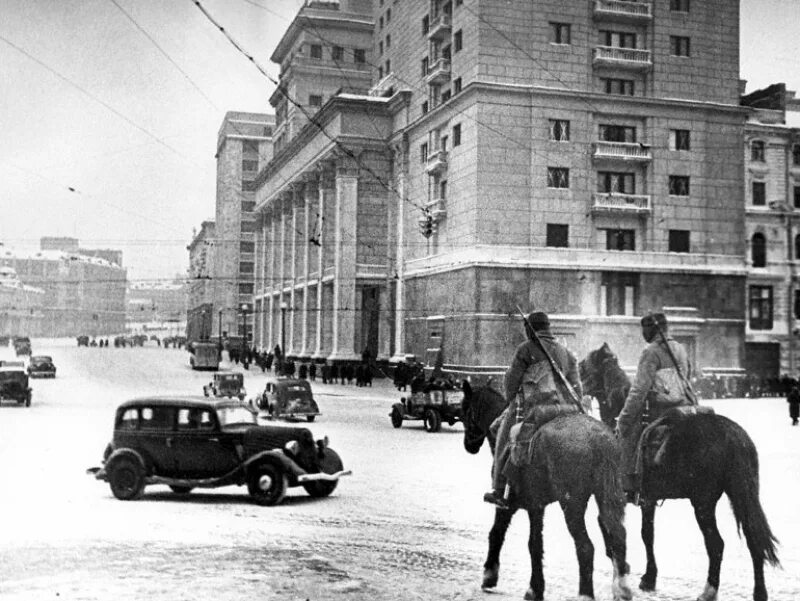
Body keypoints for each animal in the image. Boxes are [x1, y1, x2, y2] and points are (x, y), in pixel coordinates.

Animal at [462, 382, 632, 596]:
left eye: (466, 411)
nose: (469, 445)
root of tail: (598, 438)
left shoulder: (510, 504)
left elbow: (499, 534)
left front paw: (490, 575)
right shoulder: (537, 506)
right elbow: (535, 543)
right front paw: (535, 588)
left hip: (571, 505)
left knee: (586, 547)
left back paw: (585, 593)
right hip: (605, 496)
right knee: (618, 536)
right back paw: (622, 586)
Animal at [580, 342, 780, 600]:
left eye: (584, 366)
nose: (577, 388)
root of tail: (733, 434)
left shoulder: (616, 494)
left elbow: (610, 527)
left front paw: (624, 572)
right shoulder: (647, 499)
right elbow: (647, 534)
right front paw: (649, 577)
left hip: (703, 502)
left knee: (716, 544)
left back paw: (709, 590)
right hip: (740, 496)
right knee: (754, 540)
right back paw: (759, 592)